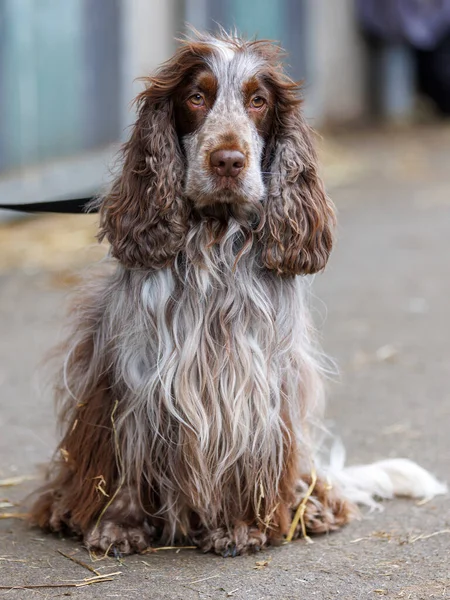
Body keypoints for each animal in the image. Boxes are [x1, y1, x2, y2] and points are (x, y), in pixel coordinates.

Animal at [29, 31, 446, 556]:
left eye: (257, 101)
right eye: (196, 96)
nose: (228, 161)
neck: (215, 238)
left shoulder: (257, 380)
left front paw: (241, 526)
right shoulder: (133, 376)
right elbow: (128, 455)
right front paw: (118, 524)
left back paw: (307, 507)